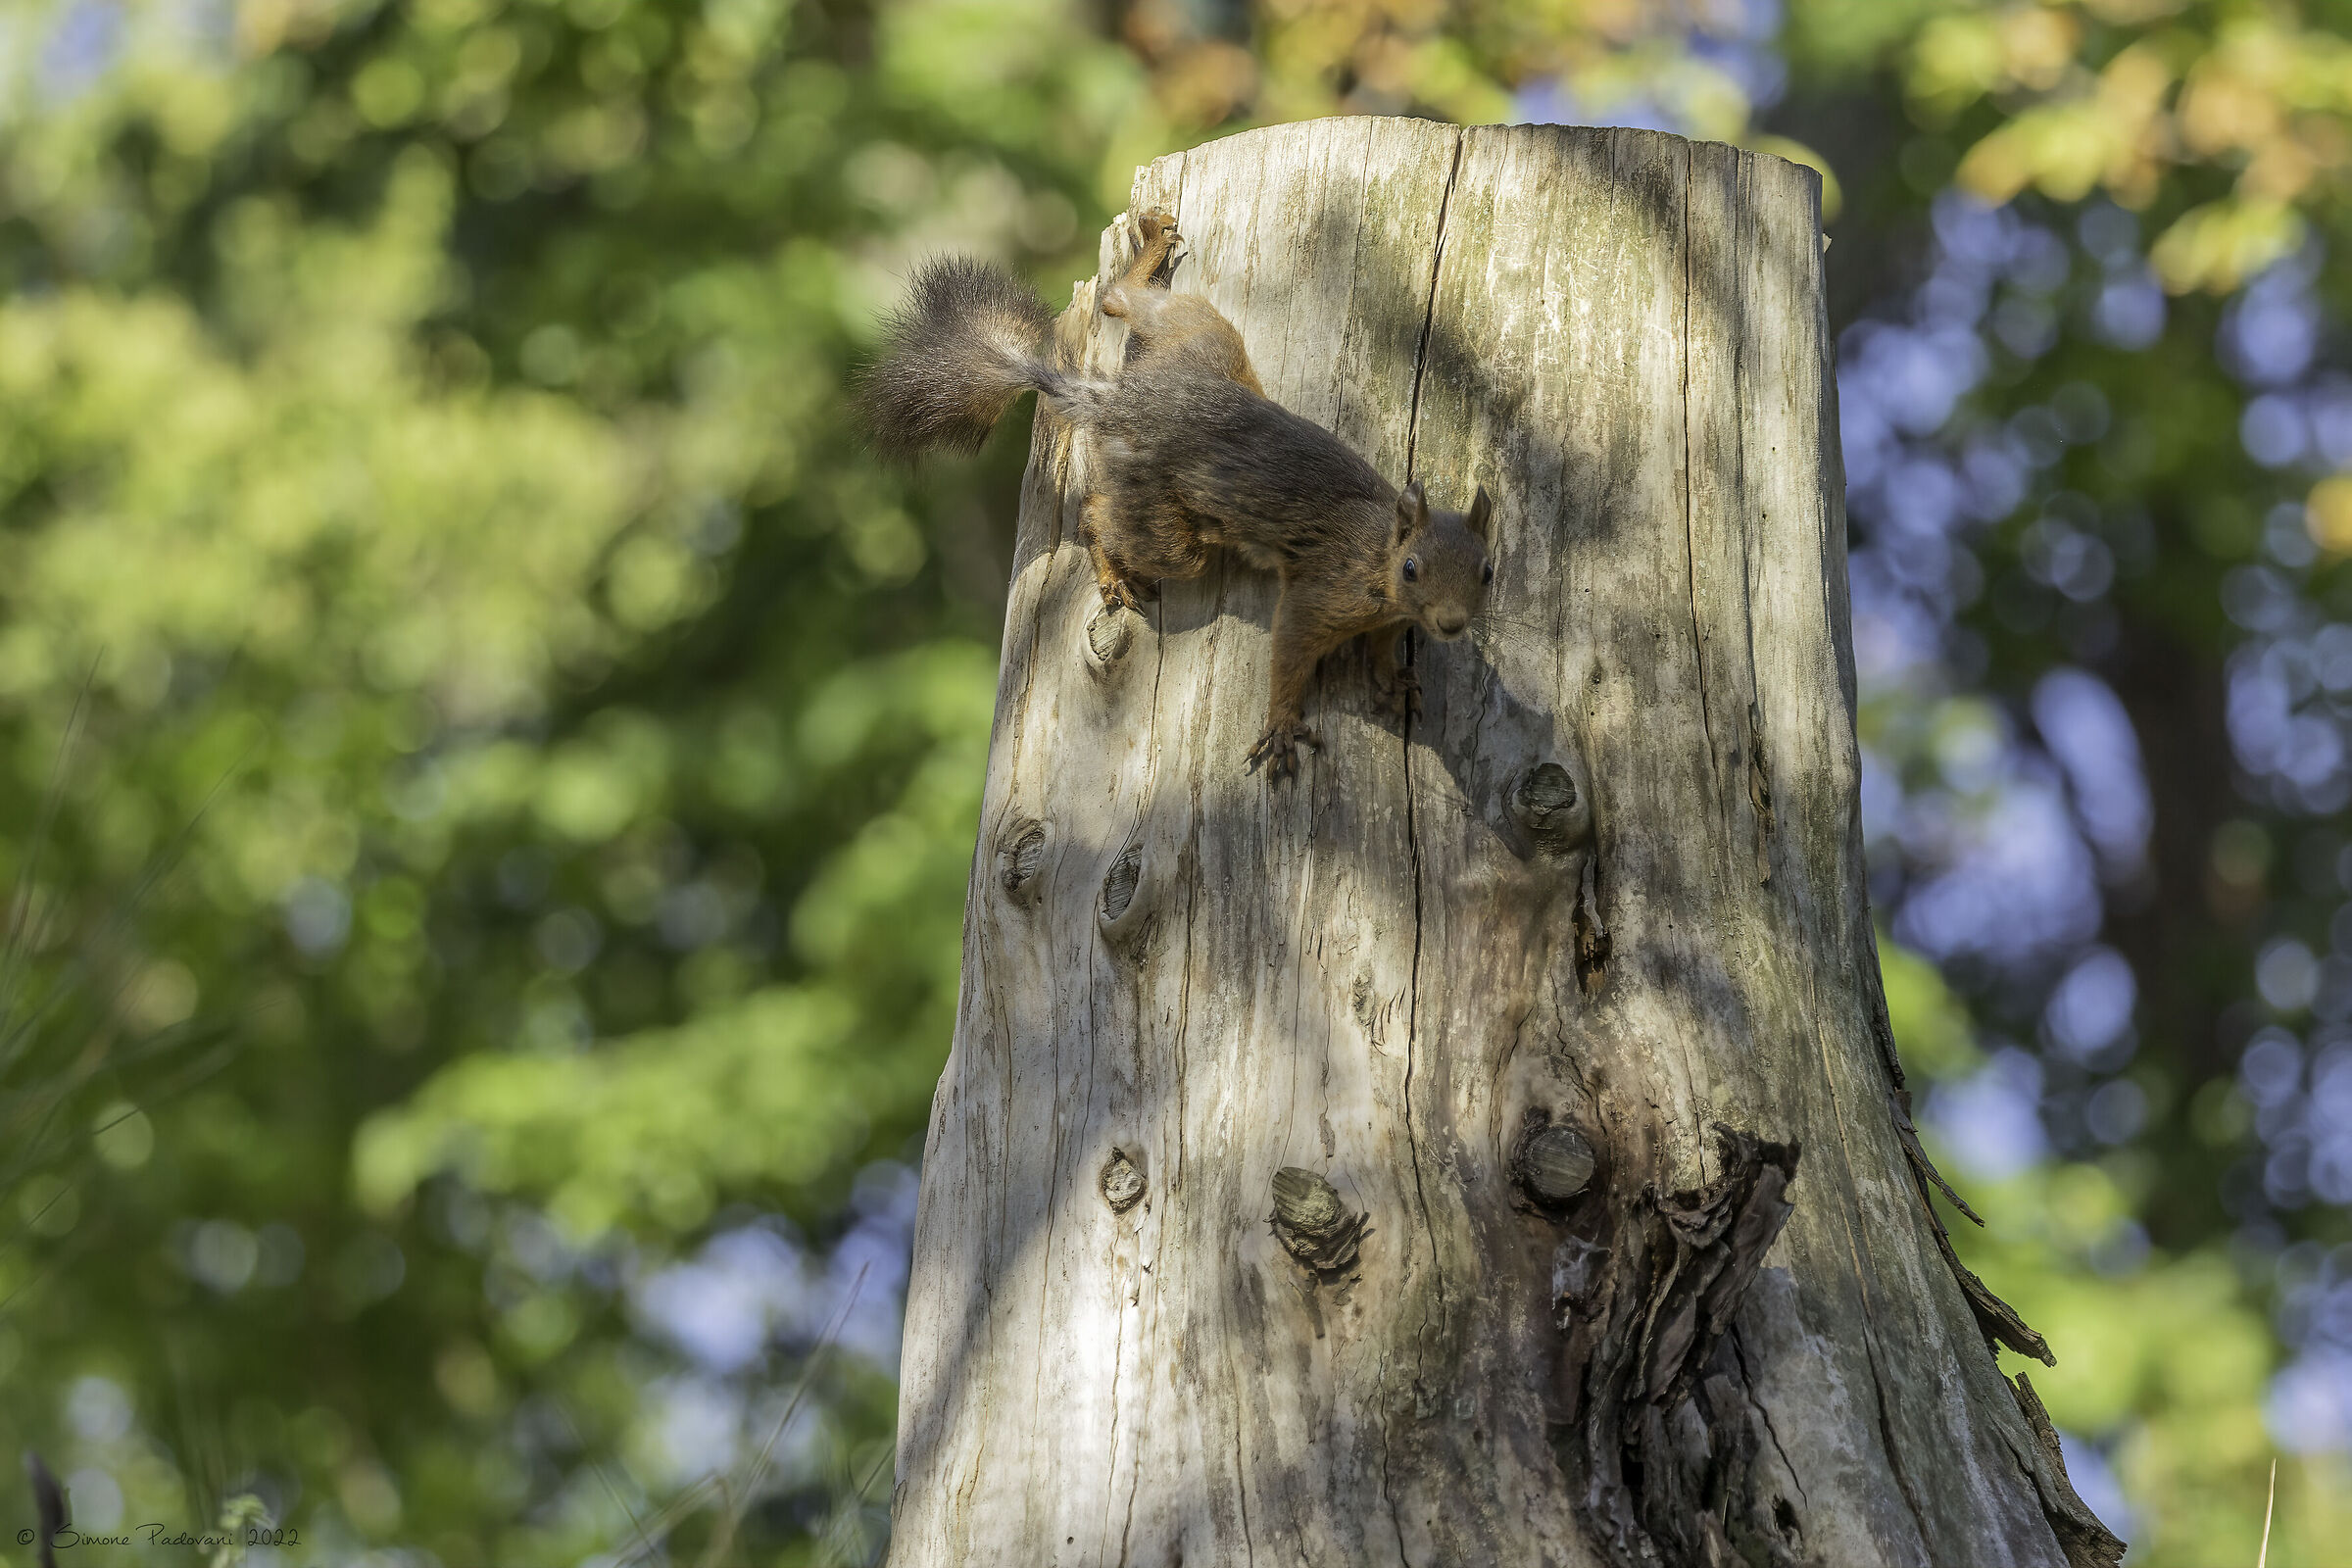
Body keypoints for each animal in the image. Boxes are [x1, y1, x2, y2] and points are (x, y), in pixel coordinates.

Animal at [858, 209, 1494, 782]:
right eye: (1411, 568)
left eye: (1488, 571)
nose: (1452, 624)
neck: (1379, 554)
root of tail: (1123, 402)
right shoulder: (1320, 595)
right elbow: (1290, 653)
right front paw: (1283, 726)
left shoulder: (1389, 621)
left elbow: (1383, 649)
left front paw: (1393, 680)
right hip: (1163, 518)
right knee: (1101, 507)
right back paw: (1112, 571)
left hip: (1200, 338)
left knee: (1128, 306)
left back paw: (1150, 249)